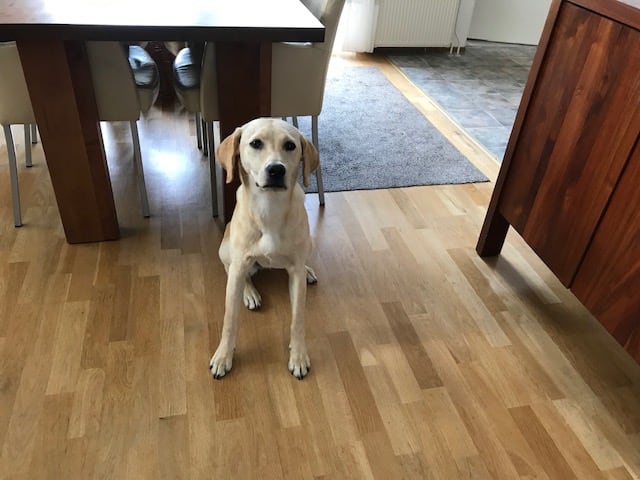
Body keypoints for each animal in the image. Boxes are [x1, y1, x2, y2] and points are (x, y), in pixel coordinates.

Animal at [209, 118, 320, 380]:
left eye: (290, 145)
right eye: (256, 143)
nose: (276, 169)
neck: (270, 208)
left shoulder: (295, 273)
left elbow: (298, 319)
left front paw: (298, 355)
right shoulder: (239, 263)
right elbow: (229, 320)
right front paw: (223, 356)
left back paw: (309, 271)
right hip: (226, 249)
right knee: (234, 271)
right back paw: (249, 292)